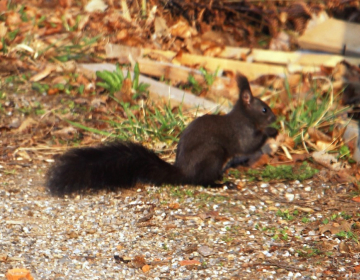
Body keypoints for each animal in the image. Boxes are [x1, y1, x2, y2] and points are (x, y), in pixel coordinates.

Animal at [46, 74, 278, 197]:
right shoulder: (241, 131)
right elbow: (249, 145)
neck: (244, 116)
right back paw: (219, 183)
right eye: (264, 109)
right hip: (213, 154)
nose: (275, 117)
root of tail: (183, 172)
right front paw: (272, 132)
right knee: (201, 181)